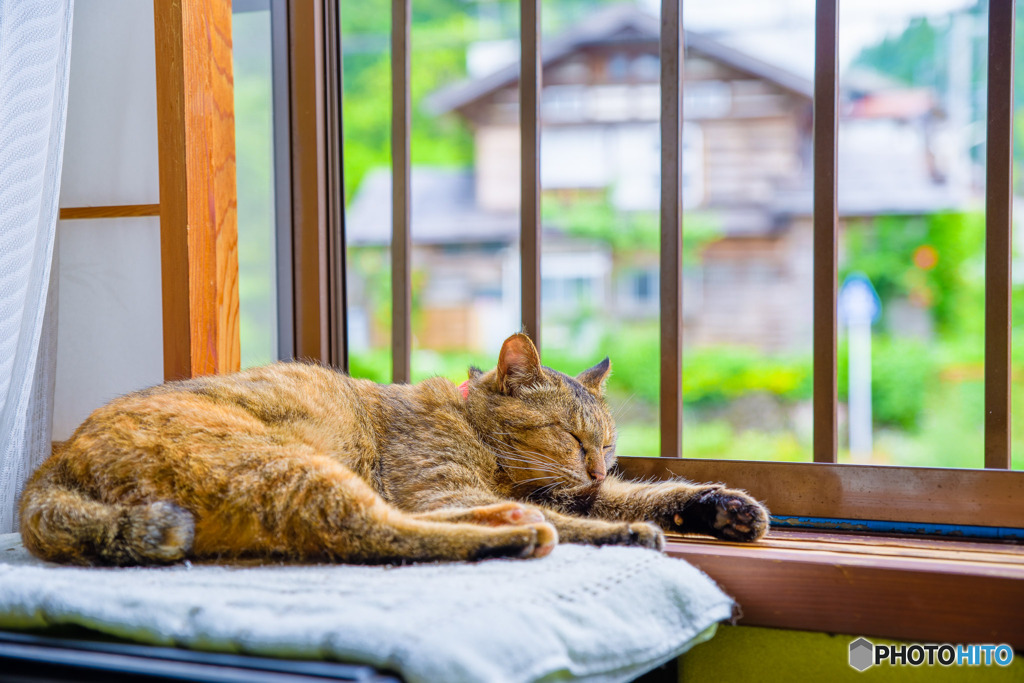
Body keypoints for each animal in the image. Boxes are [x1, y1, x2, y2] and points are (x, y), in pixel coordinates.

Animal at [18, 331, 770, 565]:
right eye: (571, 435)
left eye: (608, 446)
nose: (593, 464)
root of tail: (52, 464)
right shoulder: (448, 482)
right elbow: (588, 512)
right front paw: (629, 527)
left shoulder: (575, 489)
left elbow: (647, 492)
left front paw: (722, 505)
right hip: (288, 467)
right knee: (373, 530)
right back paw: (520, 534)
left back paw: (511, 522)